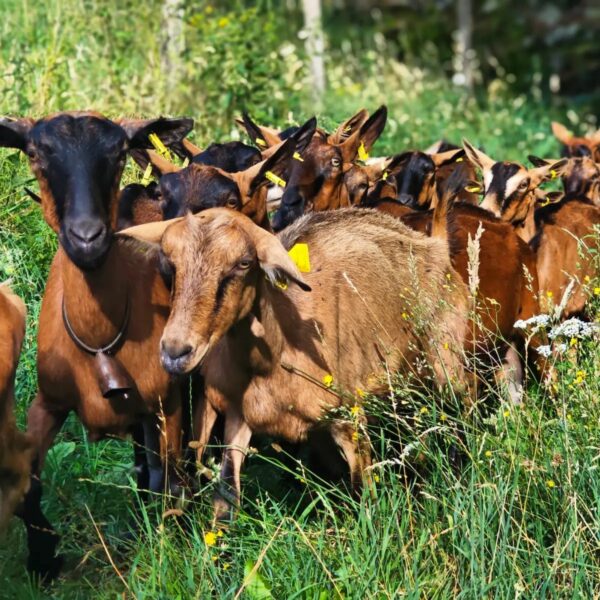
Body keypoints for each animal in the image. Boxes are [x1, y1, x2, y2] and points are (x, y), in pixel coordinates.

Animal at [0, 111, 192, 576]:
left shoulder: (168, 403)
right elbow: (29, 478)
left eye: (119, 153)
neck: (100, 339)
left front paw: (168, 547)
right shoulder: (47, 403)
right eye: (34, 153)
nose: (87, 238)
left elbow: (169, 478)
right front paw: (43, 558)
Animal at [120, 209, 468, 524]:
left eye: (244, 263)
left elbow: (365, 492)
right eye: (170, 264)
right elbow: (226, 497)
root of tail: (433, 243)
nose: (175, 351)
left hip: (446, 361)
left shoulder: (348, 419)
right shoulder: (237, 416)